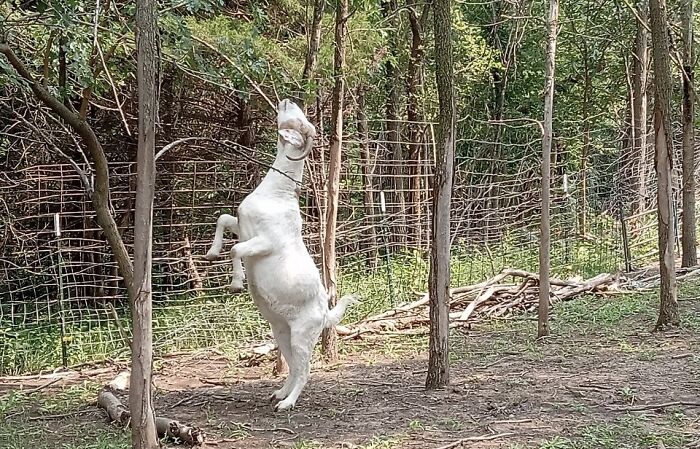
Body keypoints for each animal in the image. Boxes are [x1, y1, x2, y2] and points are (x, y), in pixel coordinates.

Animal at [204, 98, 358, 411]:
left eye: (297, 120)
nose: (288, 101)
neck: (277, 194)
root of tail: (325, 314)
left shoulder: (264, 242)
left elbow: (236, 249)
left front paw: (236, 283)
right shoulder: (244, 227)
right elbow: (224, 219)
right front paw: (211, 253)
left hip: (302, 335)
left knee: (305, 368)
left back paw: (286, 403)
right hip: (282, 332)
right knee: (293, 366)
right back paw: (279, 393)